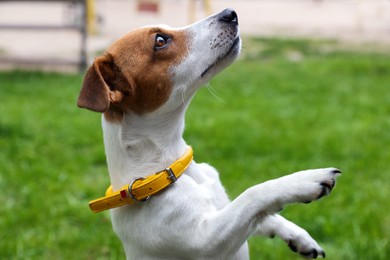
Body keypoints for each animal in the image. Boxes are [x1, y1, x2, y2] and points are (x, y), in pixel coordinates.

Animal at [77, 8, 340, 260]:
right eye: (160, 40)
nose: (230, 12)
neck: (167, 168)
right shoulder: (207, 241)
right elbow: (252, 195)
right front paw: (304, 180)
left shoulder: (228, 211)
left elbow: (262, 216)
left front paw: (299, 236)